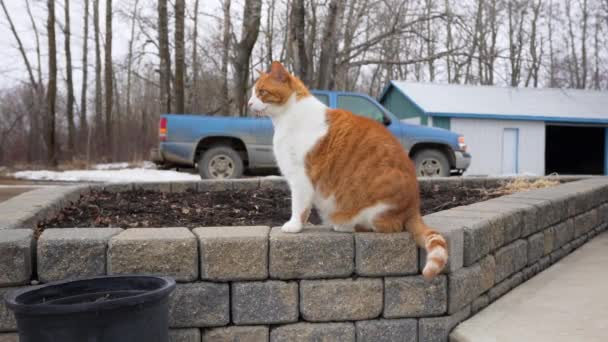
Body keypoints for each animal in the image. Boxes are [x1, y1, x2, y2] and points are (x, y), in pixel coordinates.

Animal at [247, 62, 446, 280]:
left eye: (262, 92)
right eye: (253, 93)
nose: (249, 103)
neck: (287, 118)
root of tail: (414, 207)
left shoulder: (300, 178)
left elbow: (298, 207)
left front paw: (294, 226)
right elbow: (304, 208)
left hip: (375, 207)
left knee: (383, 226)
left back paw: (344, 224)